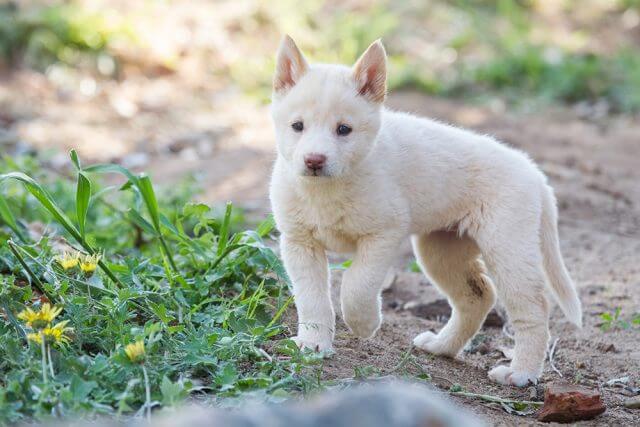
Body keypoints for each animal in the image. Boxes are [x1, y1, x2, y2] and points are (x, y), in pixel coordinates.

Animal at [268, 36, 584, 388]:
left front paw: (364, 324)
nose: (314, 160)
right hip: (441, 250)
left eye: (344, 129)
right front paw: (313, 344)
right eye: (297, 126)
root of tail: (535, 174)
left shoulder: (383, 234)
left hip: (507, 248)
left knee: (534, 308)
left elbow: (357, 286)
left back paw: (521, 373)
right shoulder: (299, 243)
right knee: (477, 297)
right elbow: (311, 299)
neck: (326, 190)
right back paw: (441, 347)